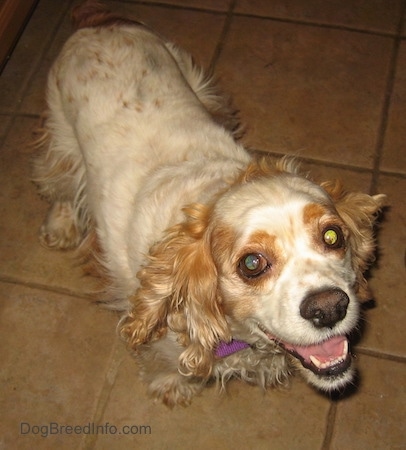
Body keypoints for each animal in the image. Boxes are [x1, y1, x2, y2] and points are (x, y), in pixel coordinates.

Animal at [31, 1, 384, 406]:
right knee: (57, 180)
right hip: (61, 132)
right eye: (251, 264)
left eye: (332, 236)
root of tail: (98, 22)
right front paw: (172, 386)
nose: (329, 307)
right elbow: (166, 364)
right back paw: (60, 225)